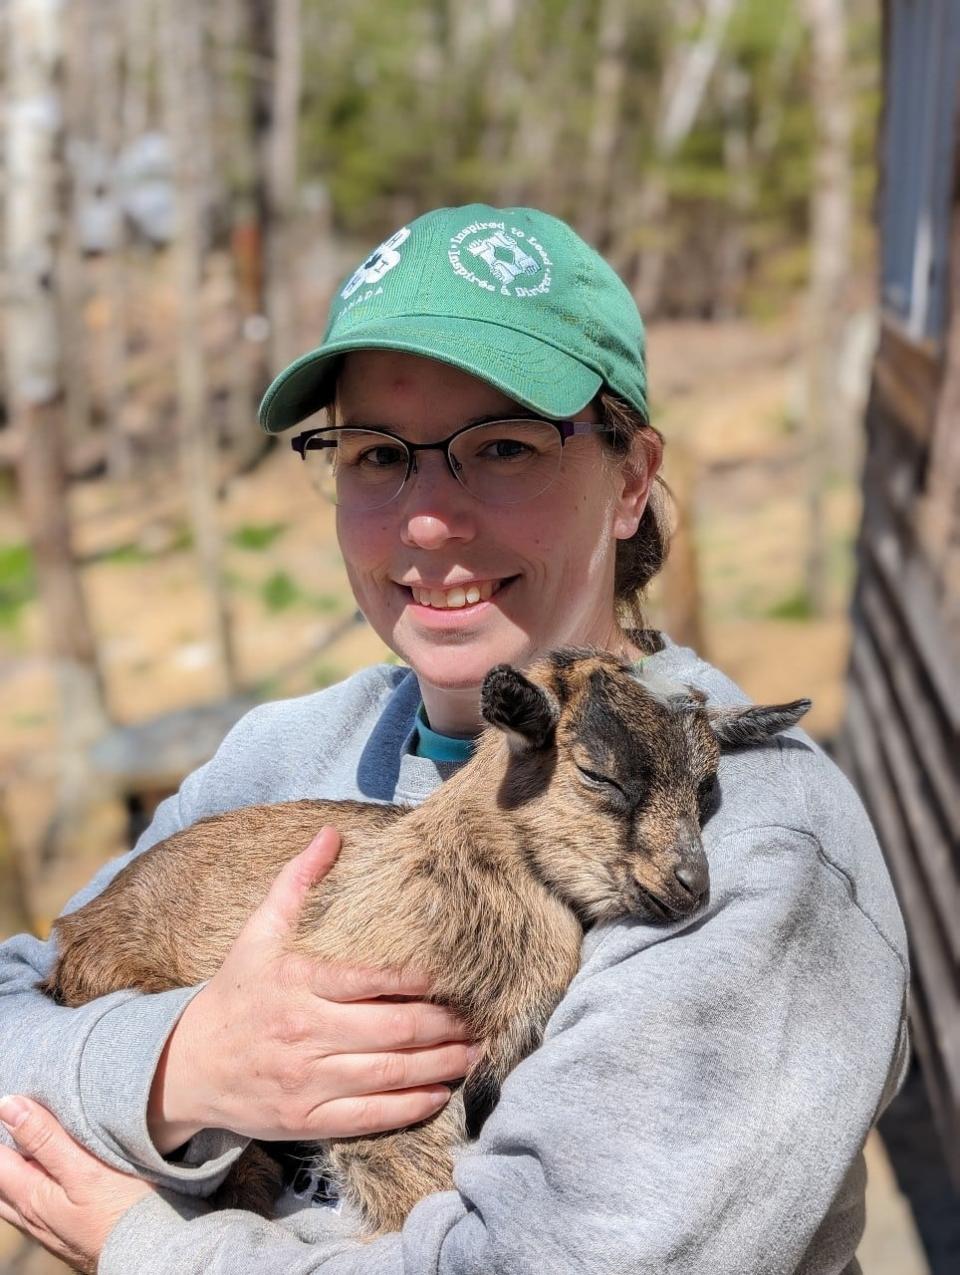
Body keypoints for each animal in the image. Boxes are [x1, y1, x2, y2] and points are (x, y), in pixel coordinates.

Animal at [44, 647, 810, 1234]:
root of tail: (71, 931)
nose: (690, 886)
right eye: (598, 773)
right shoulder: (372, 1083)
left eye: (706, 784)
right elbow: (414, 1187)